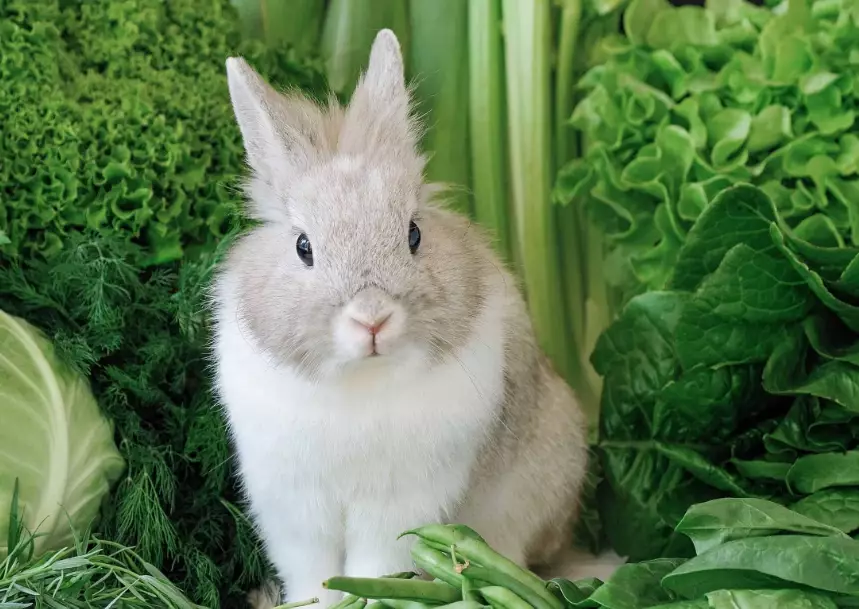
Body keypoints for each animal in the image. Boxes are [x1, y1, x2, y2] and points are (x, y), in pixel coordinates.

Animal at [212, 28, 589, 608]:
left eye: (413, 233)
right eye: (303, 247)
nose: (372, 320)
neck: (360, 380)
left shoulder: (400, 504)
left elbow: (372, 565)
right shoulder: (293, 506)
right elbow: (311, 573)